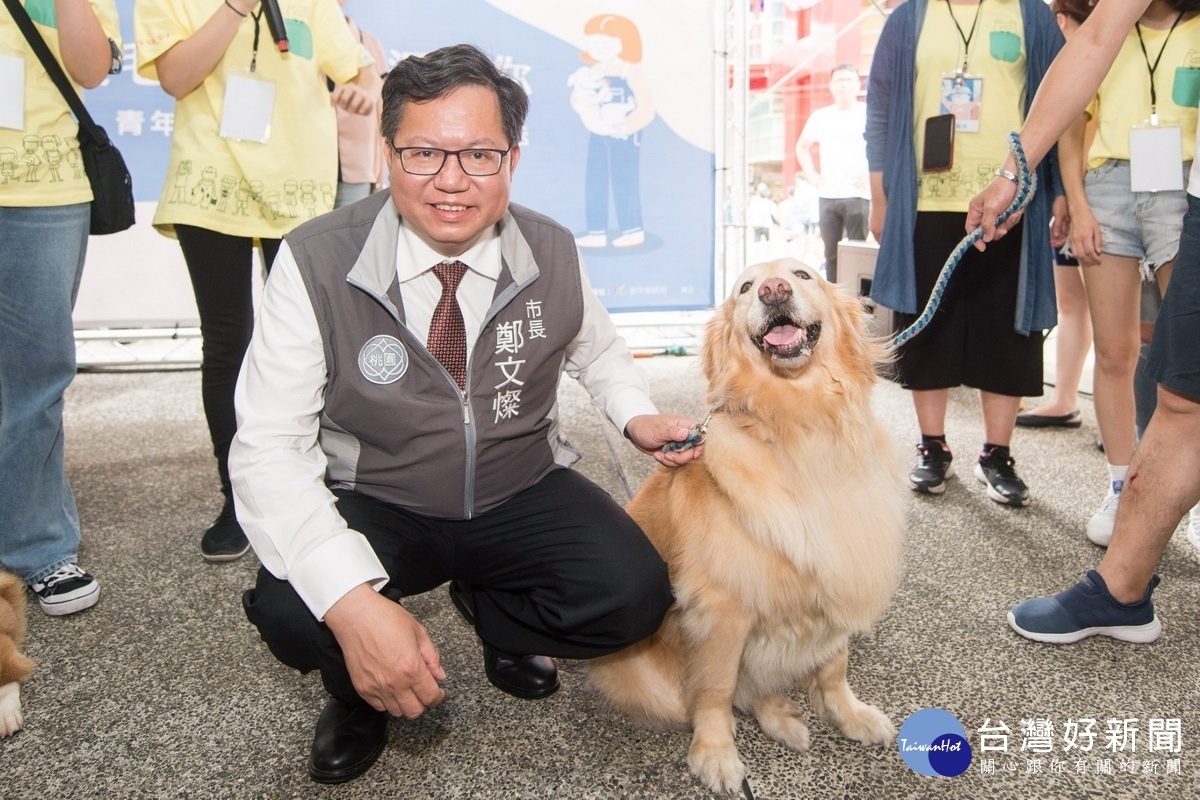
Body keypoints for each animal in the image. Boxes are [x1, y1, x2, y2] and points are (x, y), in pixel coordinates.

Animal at [585, 257, 902, 796]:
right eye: (746, 287)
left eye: (802, 274)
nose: (774, 291)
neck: (799, 420)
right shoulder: (722, 607)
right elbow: (716, 688)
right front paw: (715, 753)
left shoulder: (841, 565)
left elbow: (834, 664)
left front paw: (849, 714)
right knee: (727, 692)